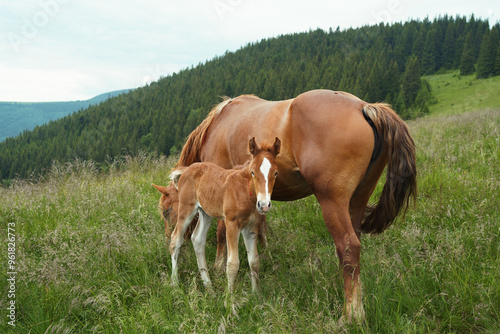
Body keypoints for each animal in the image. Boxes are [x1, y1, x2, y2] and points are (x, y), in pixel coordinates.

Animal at [170, 89, 416, 324]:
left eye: (167, 210)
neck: (218, 126)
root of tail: (364, 107)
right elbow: (259, 230)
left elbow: (222, 234)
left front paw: (219, 267)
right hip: (357, 201)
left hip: (332, 203)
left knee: (348, 247)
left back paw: (352, 316)